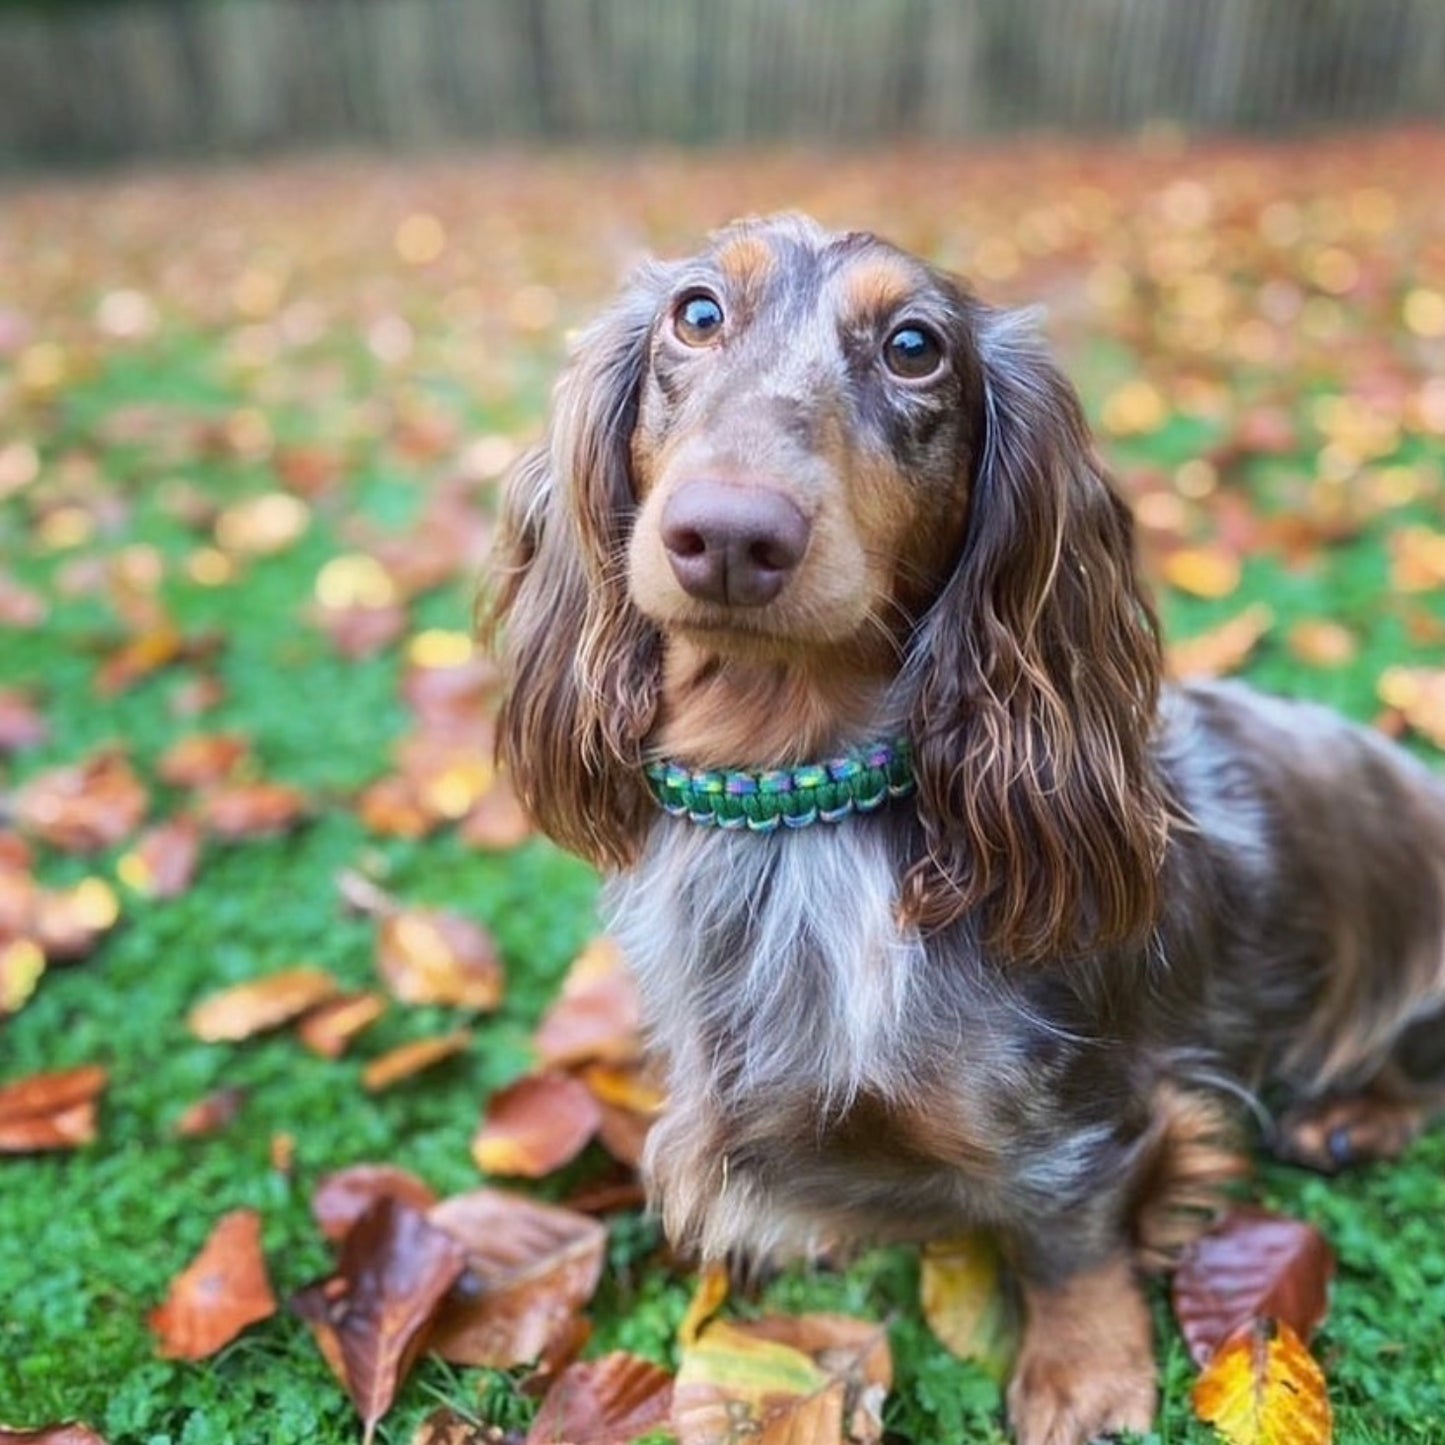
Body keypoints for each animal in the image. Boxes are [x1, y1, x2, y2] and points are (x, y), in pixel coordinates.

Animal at [482, 213, 1445, 1445]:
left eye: (913, 346)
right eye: (695, 314)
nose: (730, 534)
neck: (799, 806)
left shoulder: (1084, 1114)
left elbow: (1066, 1238)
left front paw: (1083, 1375)